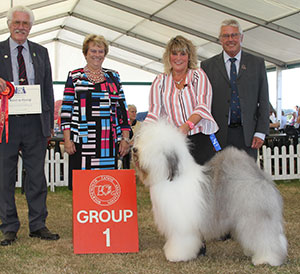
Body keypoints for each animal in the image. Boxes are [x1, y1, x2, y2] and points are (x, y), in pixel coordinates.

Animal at [134, 120, 288, 266]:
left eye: (150, 142)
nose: (134, 149)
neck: (171, 177)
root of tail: (261, 176)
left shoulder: (182, 226)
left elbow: (181, 241)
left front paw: (176, 255)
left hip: (254, 215)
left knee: (266, 236)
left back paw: (267, 258)